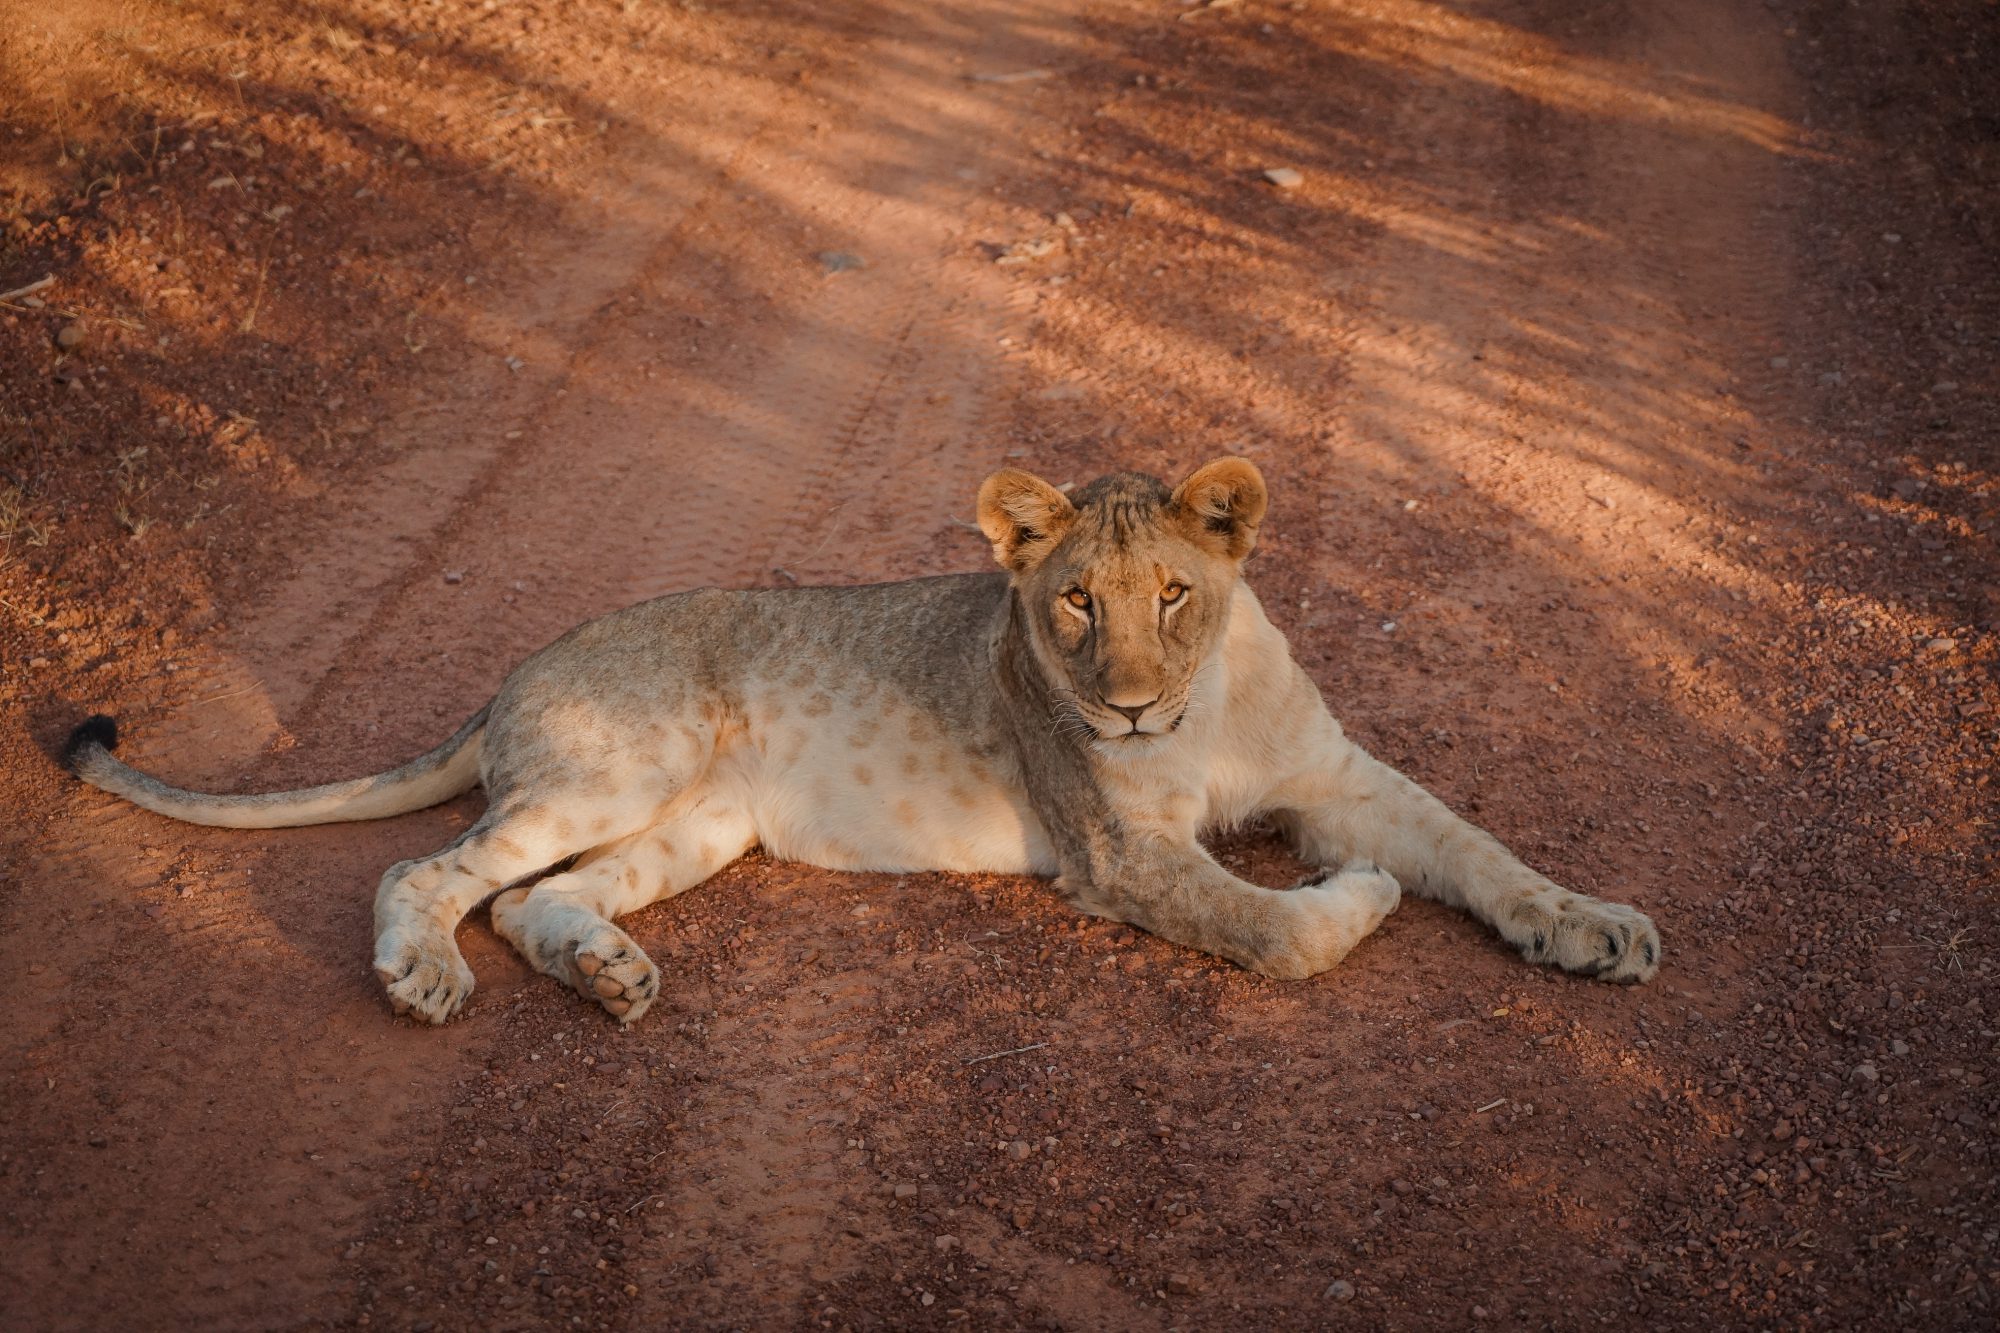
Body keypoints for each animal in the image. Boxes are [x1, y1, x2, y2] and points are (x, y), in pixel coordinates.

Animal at [58, 456, 1656, 1016]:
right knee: (432, 875)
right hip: (620, 765)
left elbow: (1476, 844)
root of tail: (516, 670)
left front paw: (1596, 926)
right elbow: (1279, 928)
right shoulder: (1118, 856)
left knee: (532, 901)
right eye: (1073, 603)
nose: (1129, 704)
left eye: (1173, 594)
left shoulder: (1333, 777)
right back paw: (423, 978)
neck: (1204, 708)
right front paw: (1355, 898)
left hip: (699, 822)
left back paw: (609, 974)